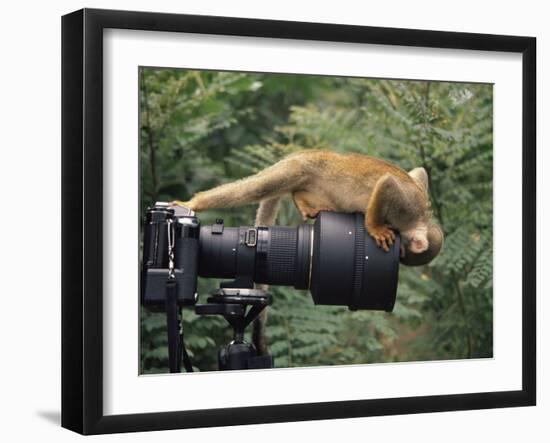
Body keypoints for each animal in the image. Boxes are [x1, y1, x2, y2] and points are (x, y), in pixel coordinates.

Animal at [175, 151, 446, 356]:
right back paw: (195, 203)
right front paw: (374, 226)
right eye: (402, 251)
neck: (420, 217)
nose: (400, 252)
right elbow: (388, 183)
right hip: (296, 169)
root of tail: (306, 152)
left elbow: (419, 172)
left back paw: (303, 201)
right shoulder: (406, 206)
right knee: (256, 188)